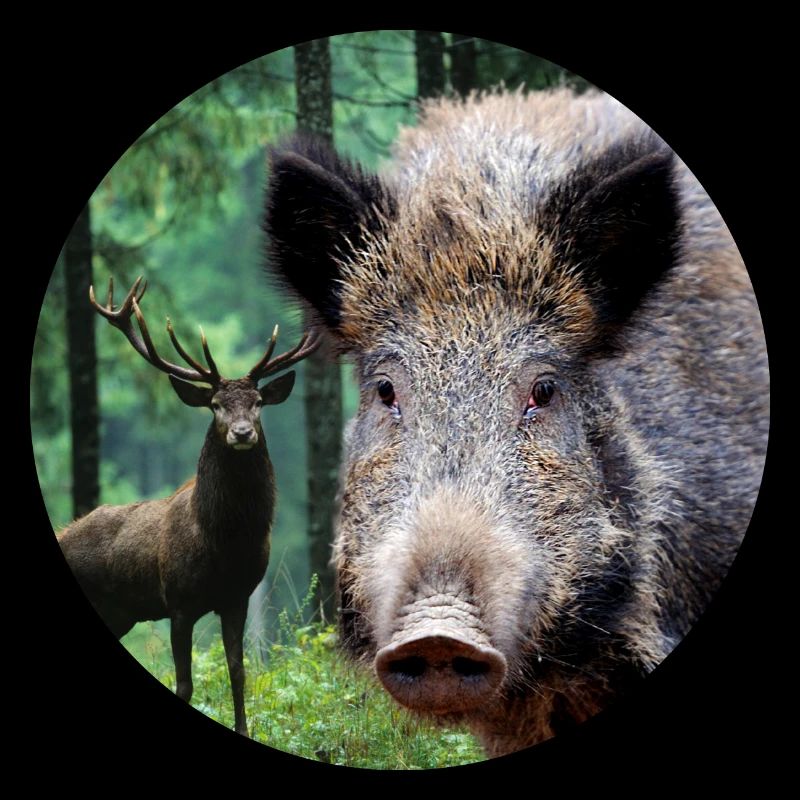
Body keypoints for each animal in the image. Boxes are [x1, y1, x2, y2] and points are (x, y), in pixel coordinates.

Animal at [57, 276, 320, 737]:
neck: (223, 543)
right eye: (215, 405)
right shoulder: (178, 602)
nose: (242, 432)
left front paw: (244, 729)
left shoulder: (237, 598)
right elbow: (184, 683)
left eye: (258, 402)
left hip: (119, 612)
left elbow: (238, 673)